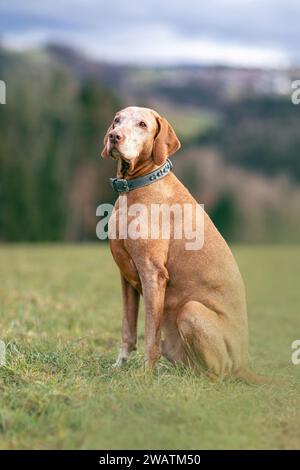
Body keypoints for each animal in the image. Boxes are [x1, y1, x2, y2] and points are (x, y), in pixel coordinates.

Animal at [102, 105, 270, 382]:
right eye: (117, 120)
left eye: (142, 124)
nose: (114, 136)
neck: (138, 184)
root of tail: (244, 365)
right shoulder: (126, 276)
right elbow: (128, 331)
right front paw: (118, 367)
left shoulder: (153, 274)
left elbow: (150, 335)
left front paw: (145, 376)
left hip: (191, 310)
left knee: (217, 376)